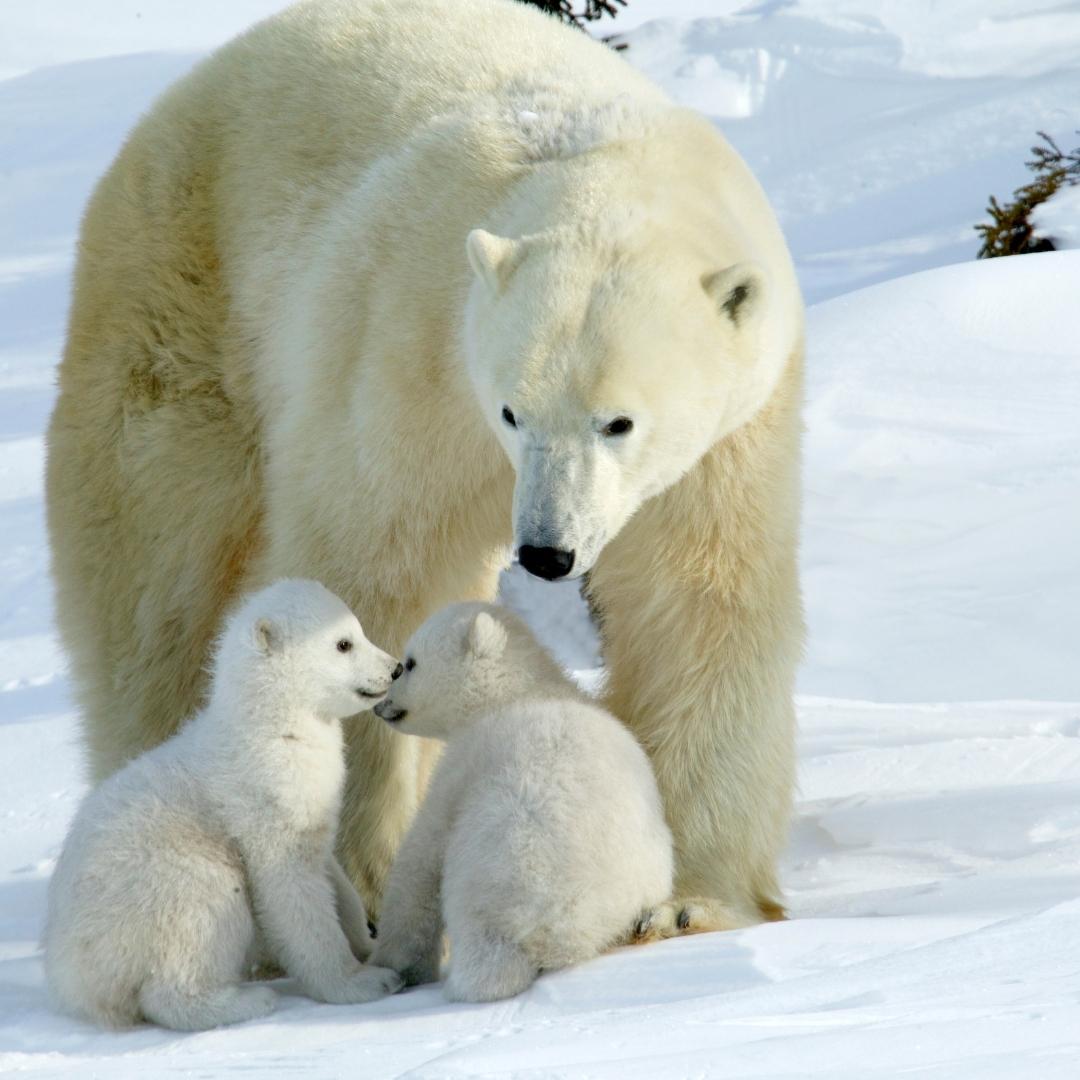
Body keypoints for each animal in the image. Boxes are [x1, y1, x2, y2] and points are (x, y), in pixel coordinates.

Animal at [42, 583, 406, 1028]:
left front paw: (369, 943)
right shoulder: (263, 798)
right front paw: (363, 981)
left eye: (356, 630)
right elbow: (290, 890)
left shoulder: (311, 803)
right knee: (200, 917)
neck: (271, 727)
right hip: (158, 887)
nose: (394, 668)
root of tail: (71, 979)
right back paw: (246, 1001)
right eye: (343, 643)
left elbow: (332, 874)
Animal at [46, 0, 807, 928]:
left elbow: (696, 603)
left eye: (618, 422)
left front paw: (692, 898)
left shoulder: (729, 437)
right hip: (182, 302)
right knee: (158, 582)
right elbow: (375, 569)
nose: (546, 552)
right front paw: (366, 876)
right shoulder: (411, 351)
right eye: (513, 410)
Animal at [371, 604, 673, 997]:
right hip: (648, 869)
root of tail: (563, 933)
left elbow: (422, 857)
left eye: (409, 663)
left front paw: (396, 964)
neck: (520, 690)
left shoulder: (468, 760)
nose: (381, 705)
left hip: (498, 870)